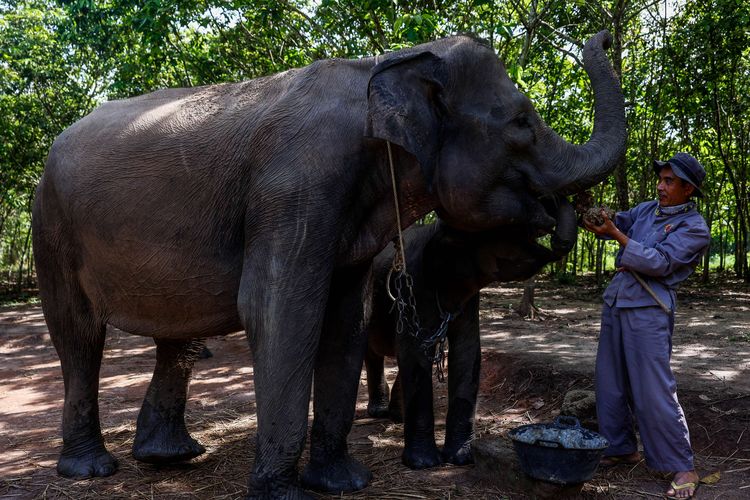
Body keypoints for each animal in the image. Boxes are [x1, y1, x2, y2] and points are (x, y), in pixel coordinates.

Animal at [364, 194, 576, 468]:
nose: (553, 229)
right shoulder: (412, 287)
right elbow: (414, 351)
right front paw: (424, 464)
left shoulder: (469, 299)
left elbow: (467, 351)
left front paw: (460, 459)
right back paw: (378, 412)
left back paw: (396, 417)